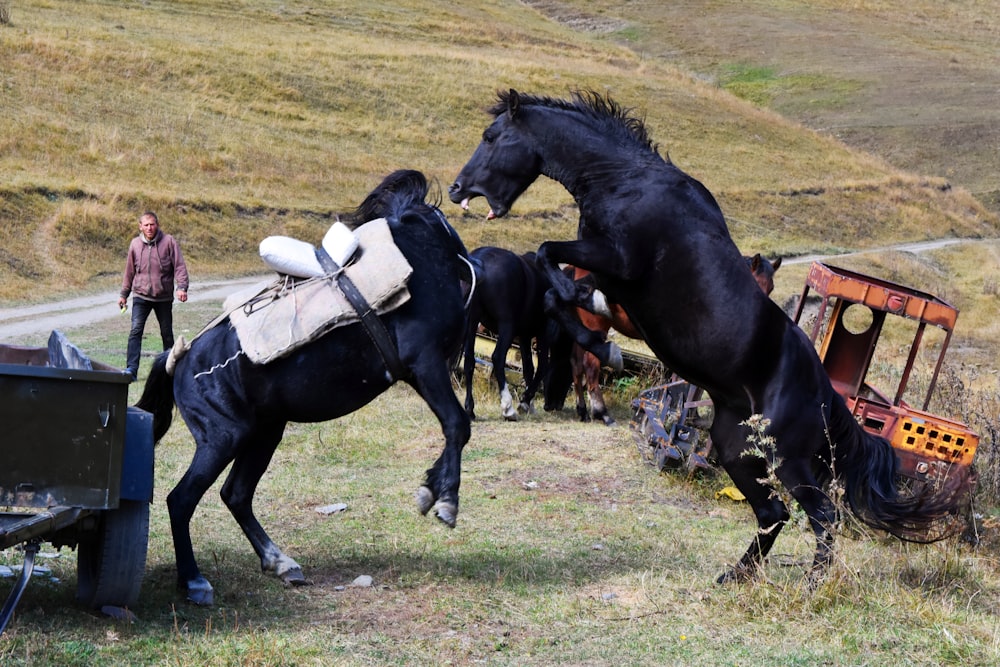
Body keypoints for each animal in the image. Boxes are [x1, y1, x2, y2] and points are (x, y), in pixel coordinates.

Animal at [138, 168, 476, 604]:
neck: (424, 255)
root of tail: (176, 357)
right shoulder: (426, 363)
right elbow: (457, 425)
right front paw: (445, 499)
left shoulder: (419, 372)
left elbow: (453, 428)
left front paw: (431, 487)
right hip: (223, 438)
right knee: (181, 500)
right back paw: (195, 581)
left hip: (265, 432)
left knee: (236, 494)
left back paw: (280, 562)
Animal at [462, 248, 556, 420]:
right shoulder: (542, 334)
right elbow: (541, 367)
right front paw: (525, 402)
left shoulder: (525, 337)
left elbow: (528, 369)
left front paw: (529, 404)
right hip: (507, 326)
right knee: (498, 358)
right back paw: (508, 408)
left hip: (472, 323)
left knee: (469, 361)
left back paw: (470, 409)